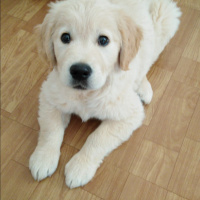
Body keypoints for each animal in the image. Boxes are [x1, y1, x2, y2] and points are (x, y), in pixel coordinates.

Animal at [29, 0, 181, 188]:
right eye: (65, 37)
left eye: (103, 40)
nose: (80, 71)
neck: (87, 94)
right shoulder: (49, 96)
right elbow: (50, 130)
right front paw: (43, 159)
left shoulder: (130, 114)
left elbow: (97, 138)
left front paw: (80, 167)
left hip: (165, 18)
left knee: (148, 59)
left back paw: (143, 87)